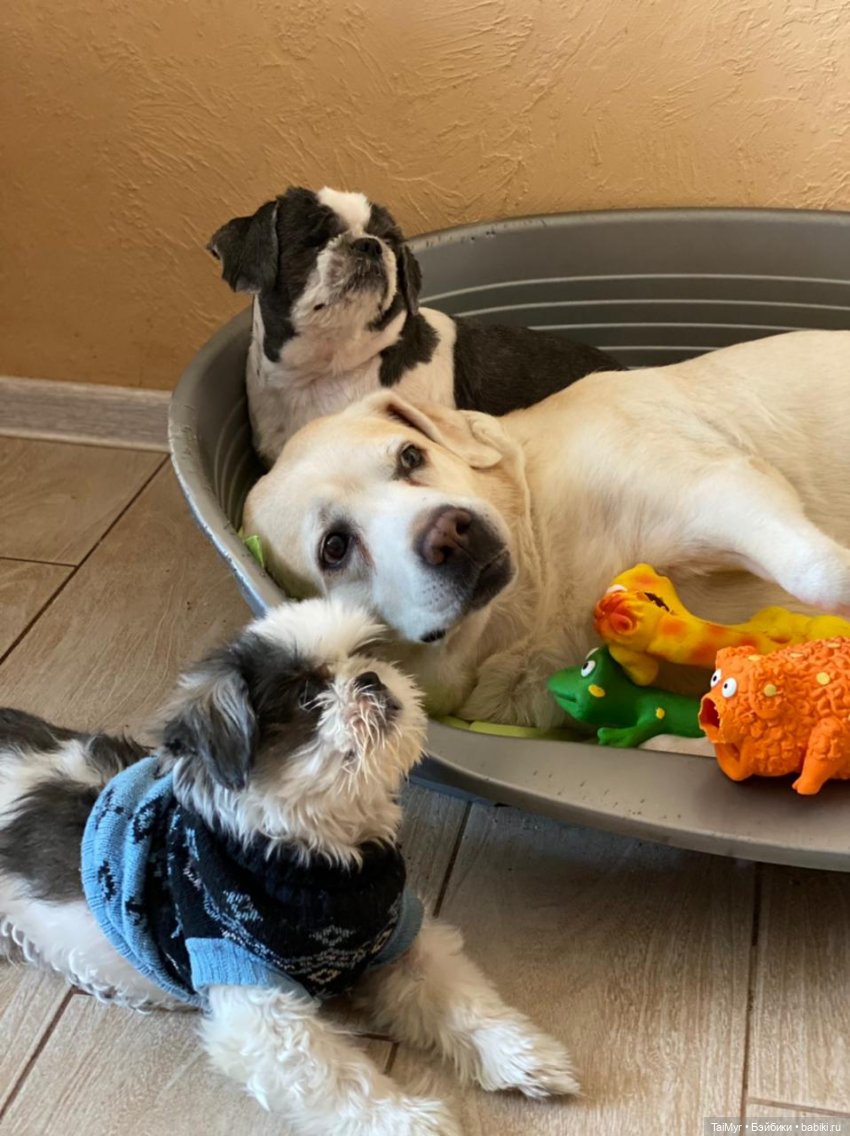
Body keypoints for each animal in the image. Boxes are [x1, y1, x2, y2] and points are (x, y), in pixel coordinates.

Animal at [0, 598, 577, 1135]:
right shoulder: (260, 1005)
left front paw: (523, 1057)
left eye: (366, 655)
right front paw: (408, 1121)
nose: (370, 678)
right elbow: (339, 1077)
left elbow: (461, 1001)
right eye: (306, 697)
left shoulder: (401, 942)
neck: (325, 867)